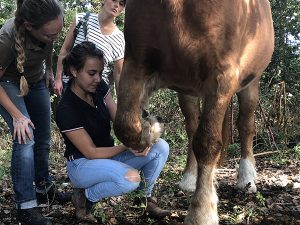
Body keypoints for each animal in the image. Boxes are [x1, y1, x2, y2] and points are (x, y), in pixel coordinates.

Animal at [113, 0, 274, 224]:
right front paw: (151, 128)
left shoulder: (221, 79)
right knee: (192, 128)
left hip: (249, 85)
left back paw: (246, 178)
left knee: (245, 125)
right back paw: (190, 178)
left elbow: (207, 143)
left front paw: (202, 211)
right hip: (187, 90)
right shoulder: (137, 66)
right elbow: (125, 126)